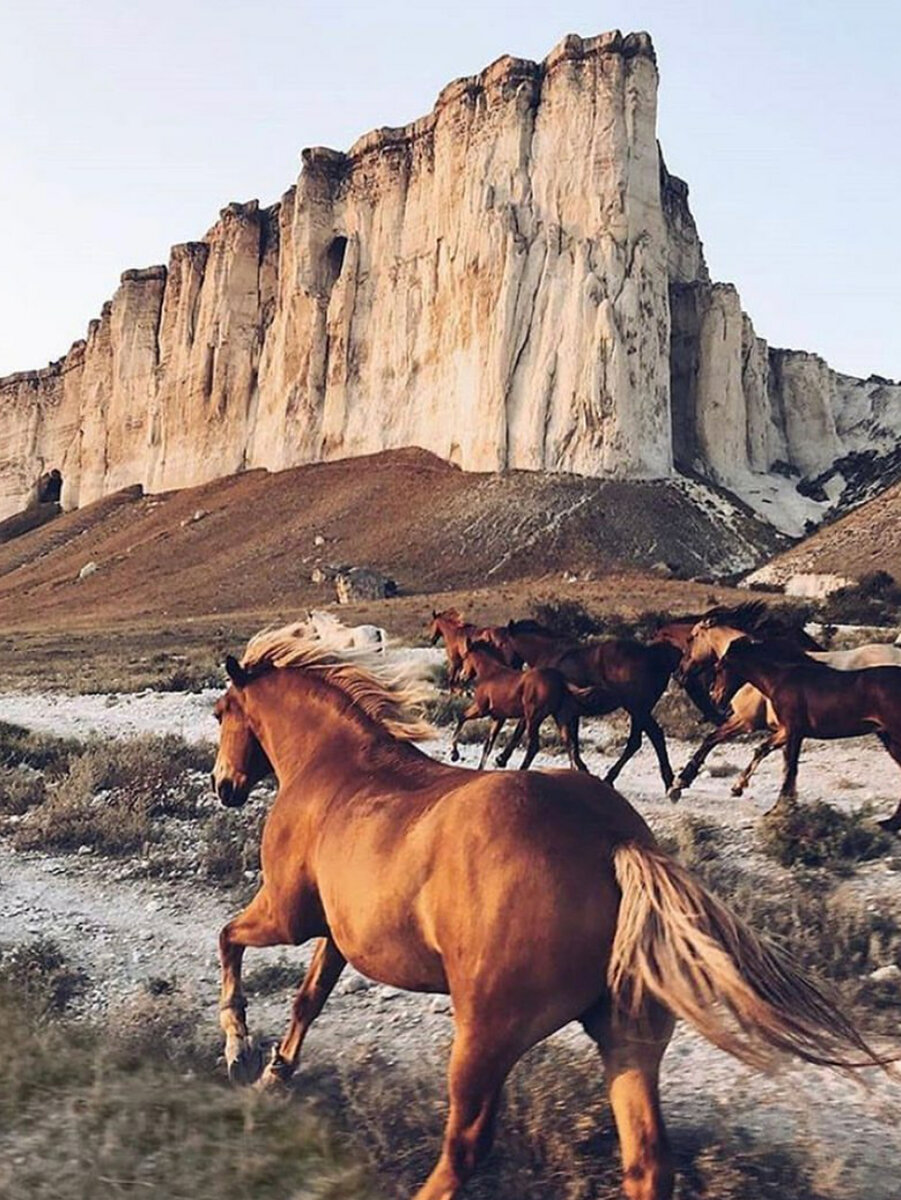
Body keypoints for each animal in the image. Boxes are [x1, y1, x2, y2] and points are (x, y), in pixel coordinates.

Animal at [451, 638, 592, 768]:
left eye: (465, 657)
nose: (462, 677)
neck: (490, 673)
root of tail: (559, 678)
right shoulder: (498, 718)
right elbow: (488, 745)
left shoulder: (481, 709)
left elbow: (462, 717)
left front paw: (454, 754)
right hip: (559, 716)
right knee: (569, 743)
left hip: (533, 718)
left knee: (534, 746)